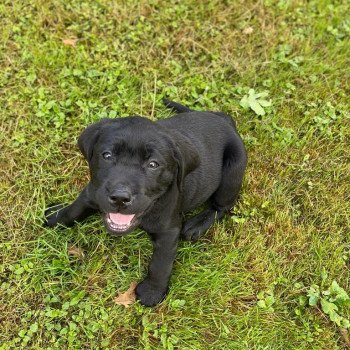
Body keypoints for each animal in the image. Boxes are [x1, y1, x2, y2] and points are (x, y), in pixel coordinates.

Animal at [45, 99, 247, 306]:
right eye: (107, 155)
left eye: (153, 165)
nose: (120, 197)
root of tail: (224, 120)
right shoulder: (92, 192)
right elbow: (74, 209)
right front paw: (55, 217)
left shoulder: (168, 230)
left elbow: (160, 263)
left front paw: (152, 291)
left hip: (232, 173)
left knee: (222, 207)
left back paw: (196, 225)